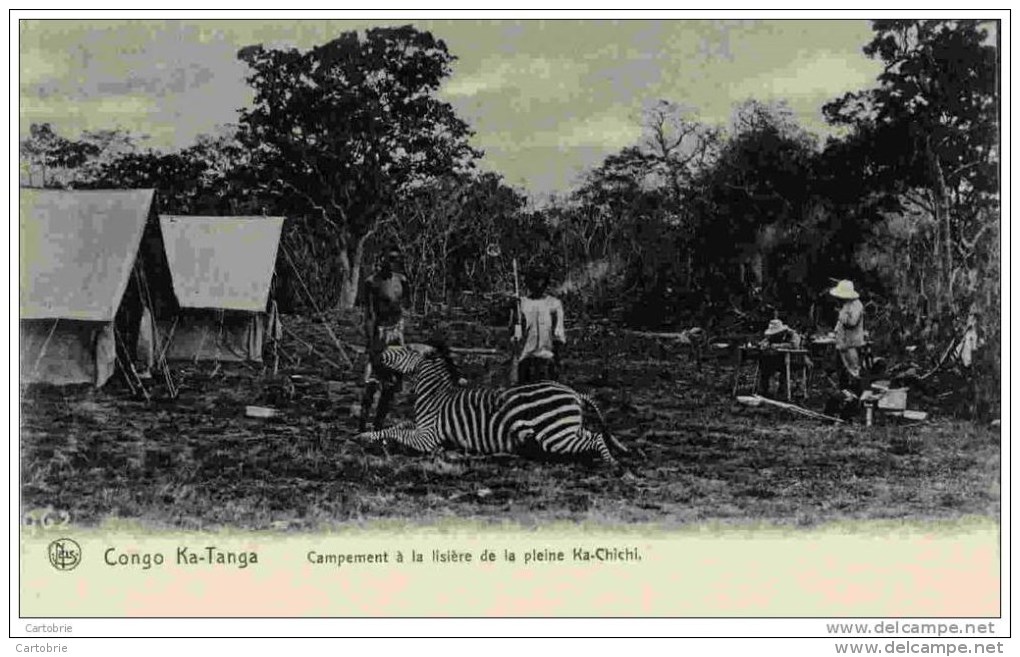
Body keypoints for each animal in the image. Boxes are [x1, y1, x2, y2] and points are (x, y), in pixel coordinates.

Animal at [354, 344, 624, 467]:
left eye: (408, 349)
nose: (377, 353)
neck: (434, 395)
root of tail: (574, 392)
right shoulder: (420, 427)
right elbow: (395, 427)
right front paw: (366, 435)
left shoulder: (427, 436)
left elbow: (399, 432)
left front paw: (369, 438)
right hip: (566, 428)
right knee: (590, 435)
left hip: (554, 435)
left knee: (595, 438)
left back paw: (611, 465)